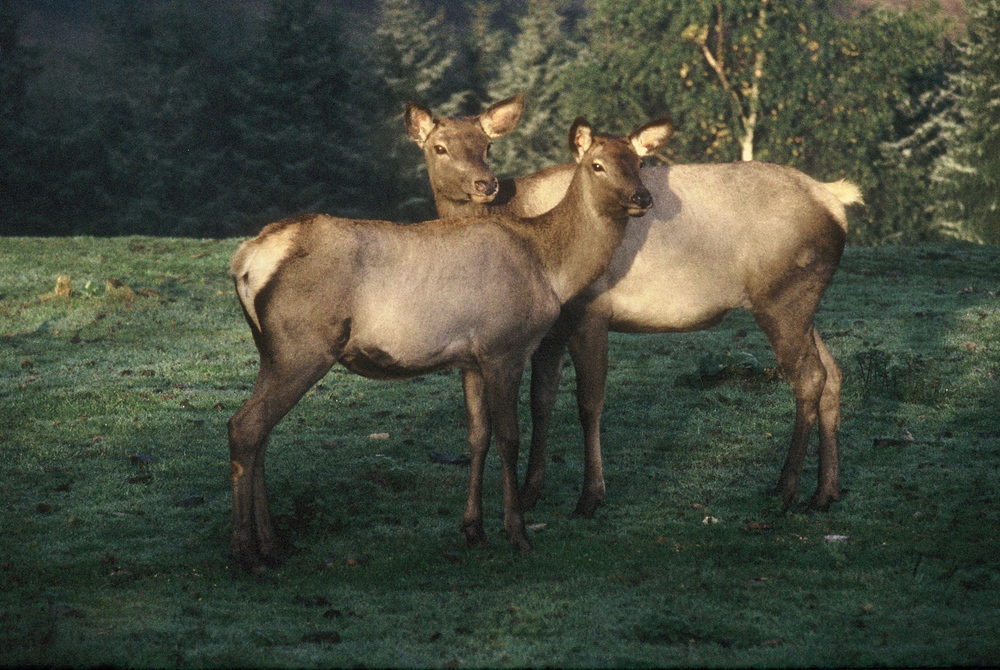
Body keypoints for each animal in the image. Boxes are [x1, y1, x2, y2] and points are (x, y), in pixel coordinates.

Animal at [223, 115, 668, 572]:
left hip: (270, 349)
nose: (642, 196)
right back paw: (246, 553)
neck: (550, 267)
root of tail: (245, 260)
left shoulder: (470, 359)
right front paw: (517, 533)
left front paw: (473, 528)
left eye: (638, 162)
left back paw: (272, 545)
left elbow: (477, 436)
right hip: (302, 345)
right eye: (597, 165)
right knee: (245, 425)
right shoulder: (503, 345)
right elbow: (509, 437)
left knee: (259, 431)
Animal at [406, 94, 860, 520]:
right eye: (439, 147)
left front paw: (590, 496)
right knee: (833, 372)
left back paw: (786, 488)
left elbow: (589, 404)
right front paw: (531, 493)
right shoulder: (551, 330)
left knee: (809, 377)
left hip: (782, 297)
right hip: (802, 302)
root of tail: (834, 201)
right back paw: (825, 493)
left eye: (487, 146)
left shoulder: (590, 311)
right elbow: (542, 401)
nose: (486, 184)